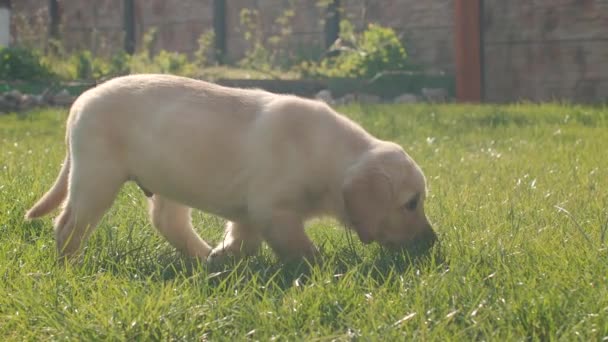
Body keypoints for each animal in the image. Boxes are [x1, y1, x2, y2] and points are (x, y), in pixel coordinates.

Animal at [25, 74, 436, 262]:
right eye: (411, 203)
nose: (433, 243)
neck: (328, 156)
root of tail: (80, 100)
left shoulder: (252, 212)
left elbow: (244, 239)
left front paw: (226, 257)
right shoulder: (274, 210)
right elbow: (300, 249)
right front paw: (325, 270)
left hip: (170, 180)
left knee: (168, 222)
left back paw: (202, 258)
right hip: (96, 179)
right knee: (67, 225)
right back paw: (70, 265)